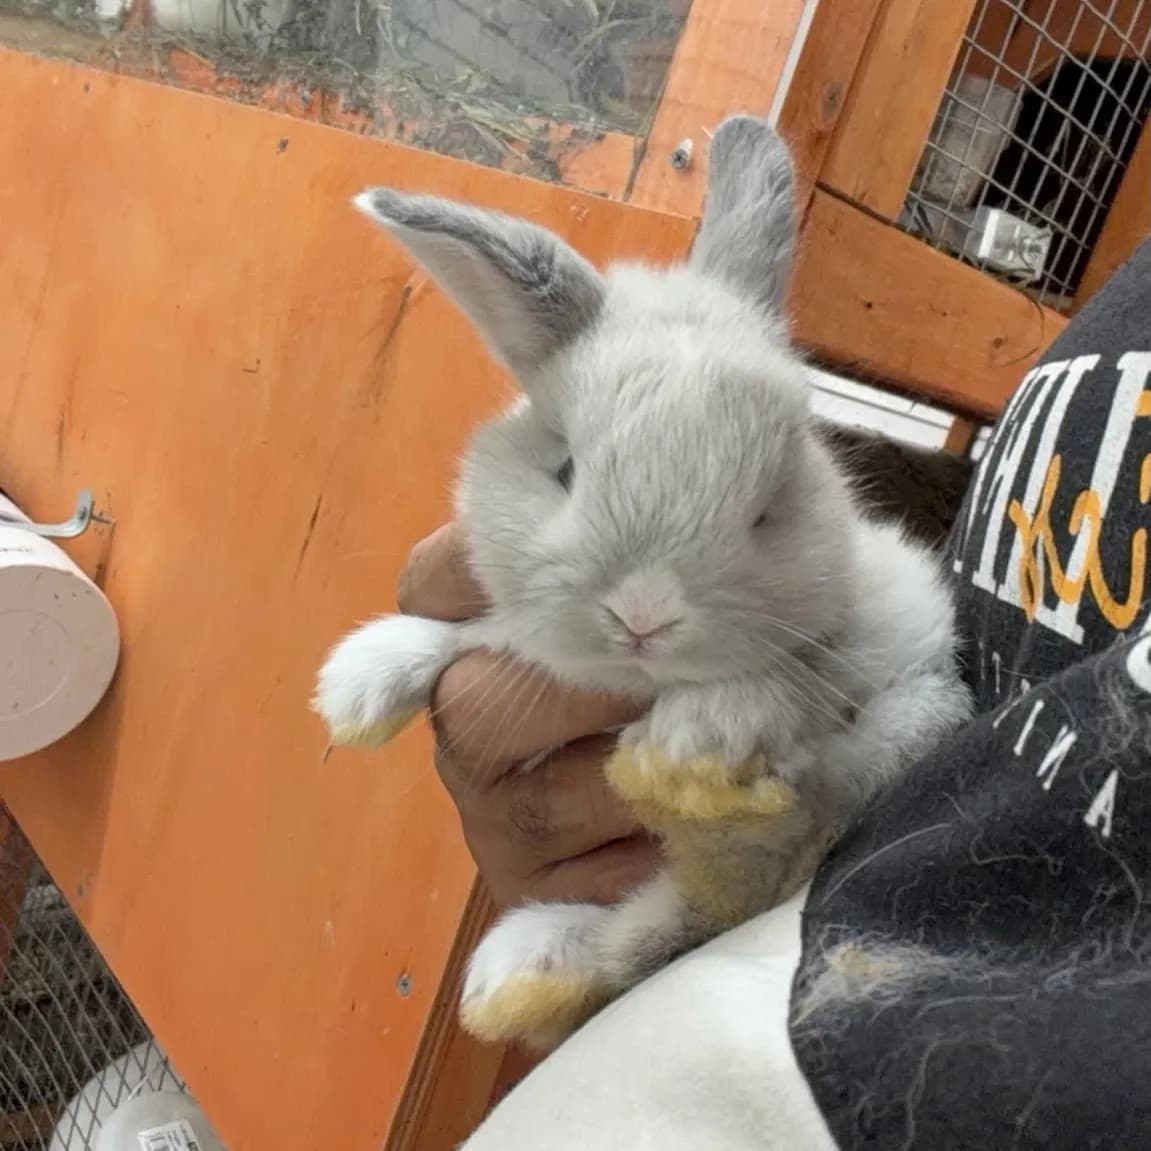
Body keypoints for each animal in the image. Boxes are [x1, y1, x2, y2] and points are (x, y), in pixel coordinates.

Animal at [312, 115, 973, 1052]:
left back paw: (682, 785)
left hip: (914, 725)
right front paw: (357, 685)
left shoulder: (870, 641)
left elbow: (793, 681)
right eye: (564, 469)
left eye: (771, 505)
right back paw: (523, 977)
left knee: (758, 855)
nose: (645, 614)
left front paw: (707, 728)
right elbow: (476, 636)